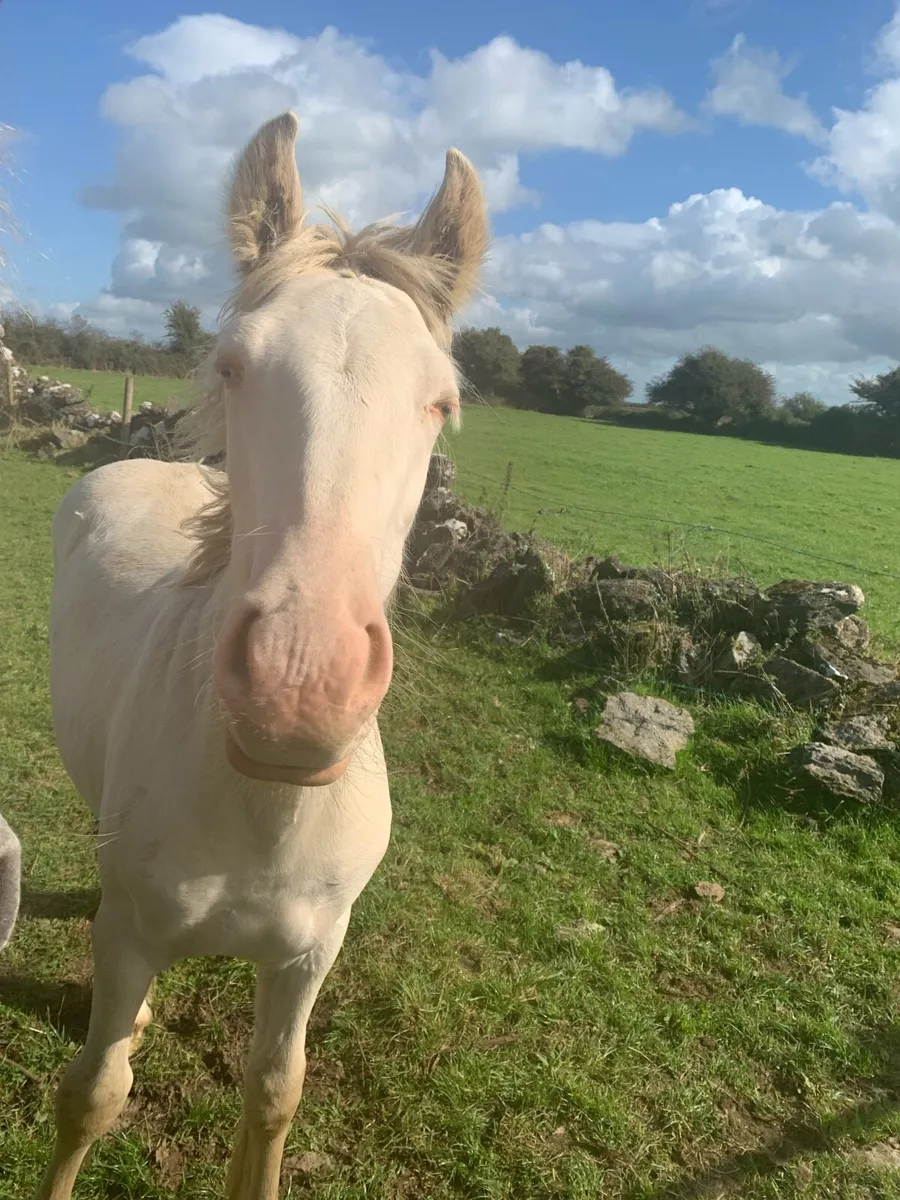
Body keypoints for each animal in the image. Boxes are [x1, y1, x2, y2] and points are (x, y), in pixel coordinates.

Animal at [36, 111, 488, 1200]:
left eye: (440, 403)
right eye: (235, 365)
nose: (300, 684)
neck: (263, 810)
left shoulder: (307, 958)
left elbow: (274, 1094)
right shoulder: (129, 936)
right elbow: (92, 1097)